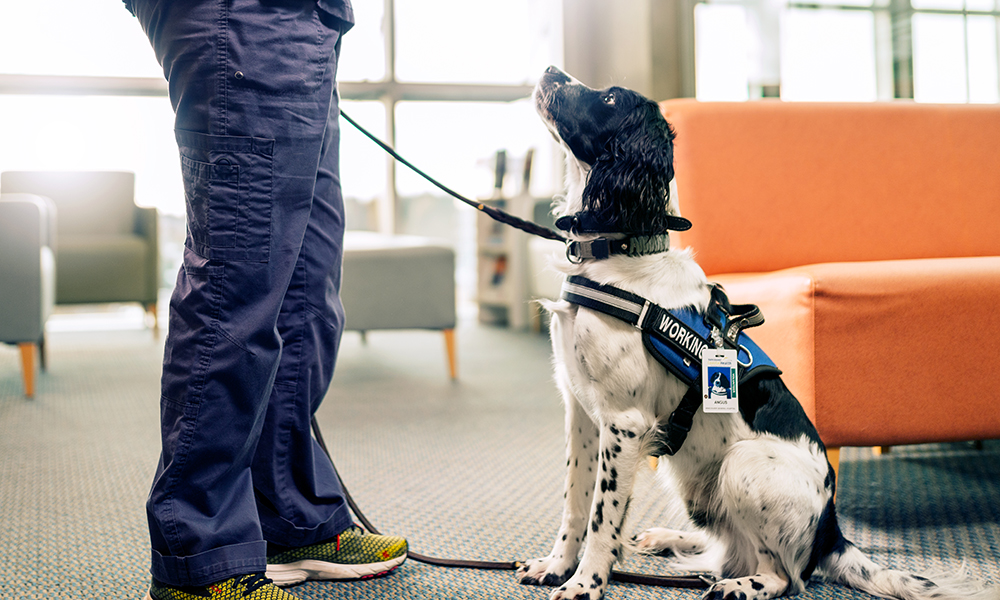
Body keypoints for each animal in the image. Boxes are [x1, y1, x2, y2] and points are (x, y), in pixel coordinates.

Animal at [516, 65, 992, 600]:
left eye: (612, 98)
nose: (550, 70)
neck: (620, 253)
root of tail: (830, 534)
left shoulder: (625, 422)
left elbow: (602, 516)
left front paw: (585, 584)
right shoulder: (581, 411)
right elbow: (575, 502)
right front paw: (556, 566)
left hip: (742, 464)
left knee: (785, 574)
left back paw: (740, 585)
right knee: (722, 547)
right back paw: (670, 538)